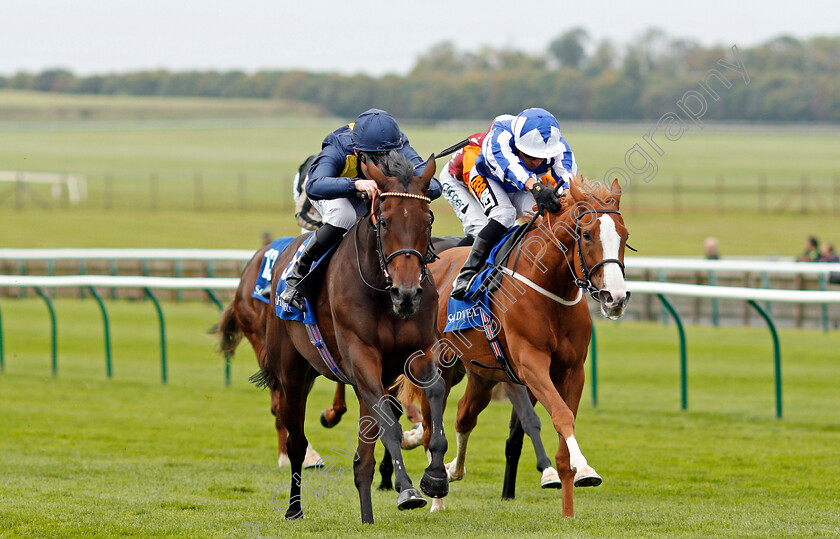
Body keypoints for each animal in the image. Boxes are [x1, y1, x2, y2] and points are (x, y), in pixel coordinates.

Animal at [400, 179, 632, 516]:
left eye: (625, 236)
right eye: (587, 235)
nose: (615, 297)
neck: (550, 289)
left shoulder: (571, 370)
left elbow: (563, 428)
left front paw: (570, 501)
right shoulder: (531, 364)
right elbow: (562, 415)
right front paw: (585, 465)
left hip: (482, 373)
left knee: (464, 415)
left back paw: (454, 470)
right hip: (440, 367)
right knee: (433, 429)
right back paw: (437, 494)